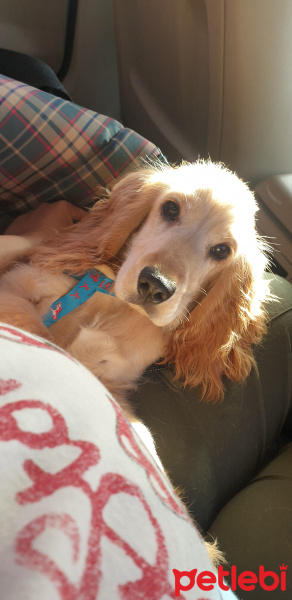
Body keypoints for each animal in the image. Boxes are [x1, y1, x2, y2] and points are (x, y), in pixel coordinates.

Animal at [0, 162, 270, 420]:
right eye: (171, 209)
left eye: (222, 250)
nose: (155, 285)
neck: (116, 306)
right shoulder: (16, 286)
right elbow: (36, 332)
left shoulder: (113, 380)